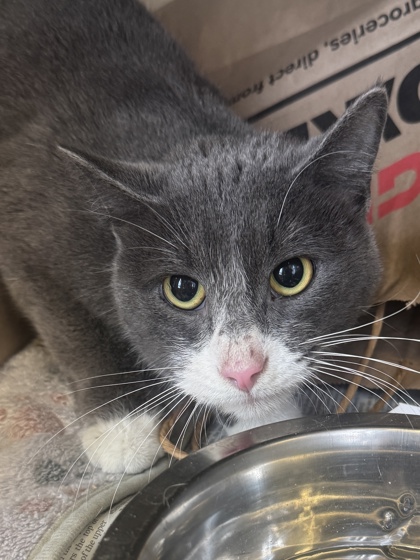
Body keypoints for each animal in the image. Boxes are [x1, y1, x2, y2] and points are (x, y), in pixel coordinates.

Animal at [0, 0, 387, 474]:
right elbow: (67, 325)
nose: (243, 369)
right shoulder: (24, 230)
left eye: (292, 274)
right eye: (182, 289)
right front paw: (119, 426)